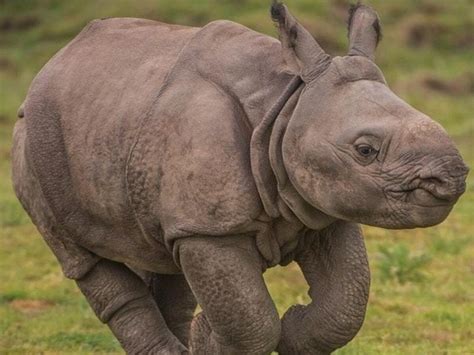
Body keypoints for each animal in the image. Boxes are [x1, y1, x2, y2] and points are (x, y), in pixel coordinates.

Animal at [10, 1, 466, 354]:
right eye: (366, 150)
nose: (453, 179)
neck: (285, 105)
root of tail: (52, 63)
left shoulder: (322, 204)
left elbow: (346, 304)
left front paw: (291, 328)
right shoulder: (208, 228)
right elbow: (250, 322)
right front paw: (215, 339)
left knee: (162, 255)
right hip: (32, 143)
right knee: (84, 259)